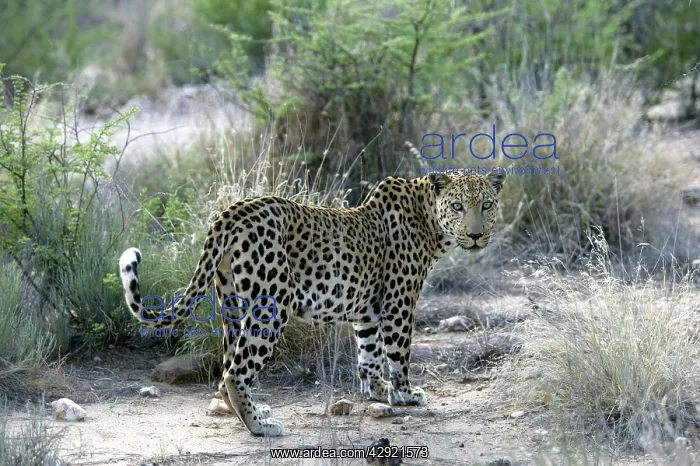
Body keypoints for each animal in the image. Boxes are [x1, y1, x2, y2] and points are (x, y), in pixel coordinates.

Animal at [119, 169, 507, 437]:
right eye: (458, 206)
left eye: (486, 204)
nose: (476, 235)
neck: (430, 221)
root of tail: (232, 211)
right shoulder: (399, 304)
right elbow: (398, 354)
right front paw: (405, 394)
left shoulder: (368, 309)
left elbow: (368, 354)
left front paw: (377, 391)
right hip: (271, 305)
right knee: (235, 370)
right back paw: (260, 426)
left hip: (232, 303)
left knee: (228, 363)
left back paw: (251, 411)